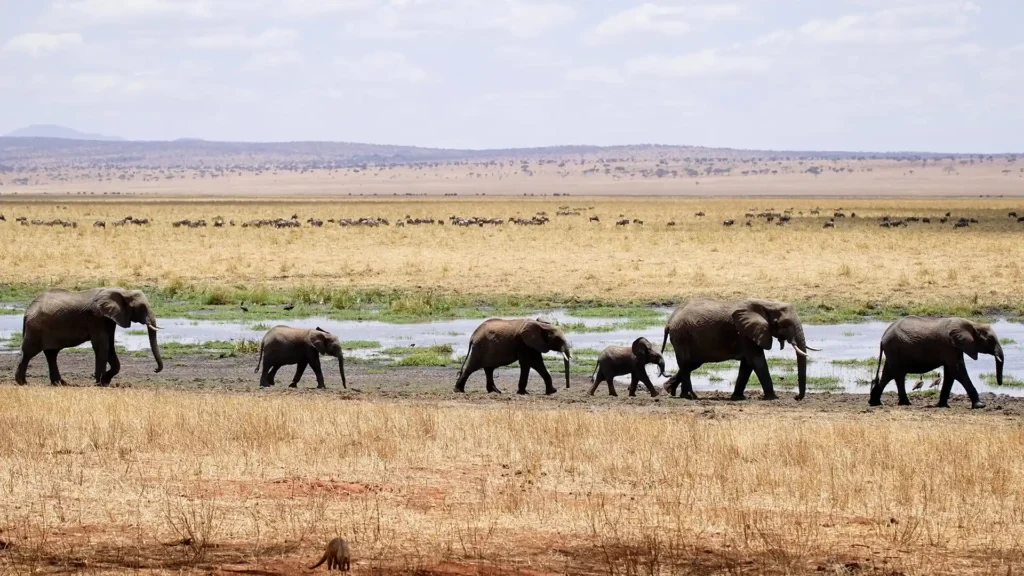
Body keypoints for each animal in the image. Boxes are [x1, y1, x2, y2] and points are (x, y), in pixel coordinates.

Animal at [15, 286, 163, 385]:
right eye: (142, 307)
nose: (155, 369)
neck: (123, 291)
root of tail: (27, 310)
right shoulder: (97, 317)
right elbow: (102, 345)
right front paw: (99, 383)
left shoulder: (108, 319)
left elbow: (110, 345)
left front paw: (105, 381)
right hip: (35, 329)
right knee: (28, 352)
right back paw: (22, 382)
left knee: (51, 354)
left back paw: (60, 383)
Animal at [659, 295, 819, 399]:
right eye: (783, 324)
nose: (796, 398)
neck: (766, 303)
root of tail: (669, 321)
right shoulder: (745, 333)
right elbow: (757, 361)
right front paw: (773, 398)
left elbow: (747, 365)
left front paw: (737, 398)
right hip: (682, 336)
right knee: (686, 364)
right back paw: (691, 396)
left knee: (691, 364)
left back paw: (671, 391)